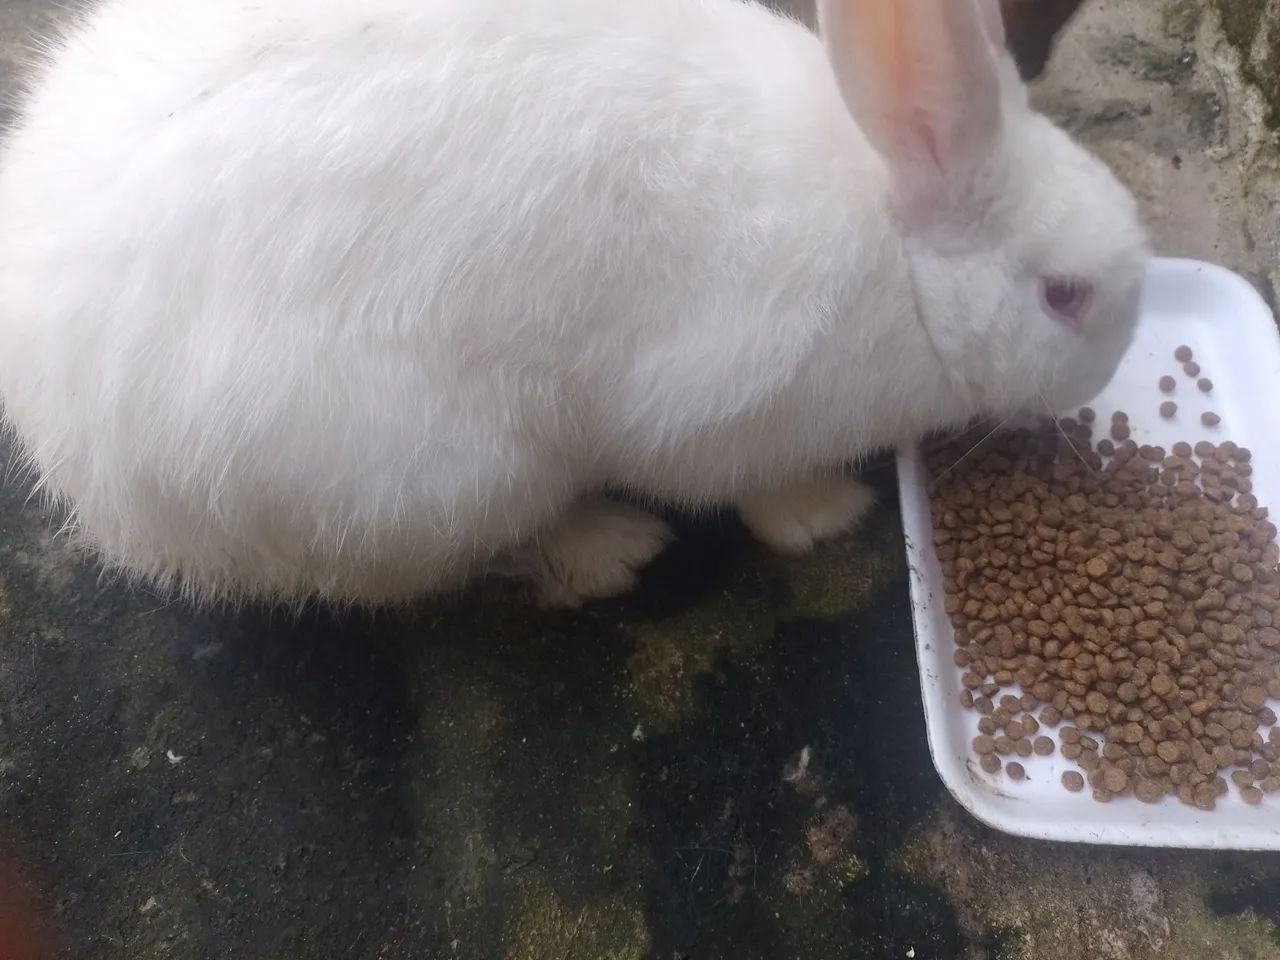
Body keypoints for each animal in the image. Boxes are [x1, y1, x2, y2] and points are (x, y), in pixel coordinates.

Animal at [0, 0, 1149, 609]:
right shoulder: (726, 410)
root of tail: (75, 454)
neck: (897, 247)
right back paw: (612, 546)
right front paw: (824, 515)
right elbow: (750, 487)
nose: (1104, 377)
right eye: (1064, 295)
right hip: (446, 476)